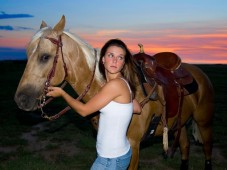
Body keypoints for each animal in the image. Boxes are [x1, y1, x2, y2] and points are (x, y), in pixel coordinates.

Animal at [14, 15, 215, 169]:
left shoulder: (133, 145)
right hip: (179, 123)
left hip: (203, 121)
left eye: (45, 57)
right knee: (185, 146)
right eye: (27, 55)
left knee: (207, 148)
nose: (21, 99)